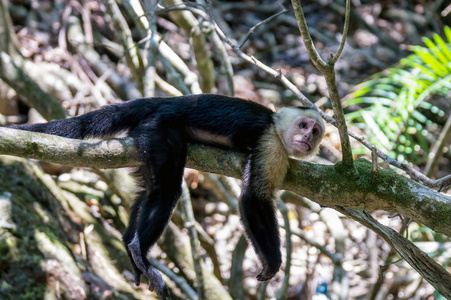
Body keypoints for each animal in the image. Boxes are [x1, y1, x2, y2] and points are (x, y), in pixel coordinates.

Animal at [10, 95, 324, 298]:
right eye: (304, 126)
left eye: (317, 131)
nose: (309, 139)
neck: (275, 125)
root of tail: (165, 100)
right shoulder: (270, 143)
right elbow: (253, 199)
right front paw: (272, 262)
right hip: (159, 128)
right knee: (166, 190)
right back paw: (140, 251)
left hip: (145, 137)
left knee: (148, 192)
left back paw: (130, 248)